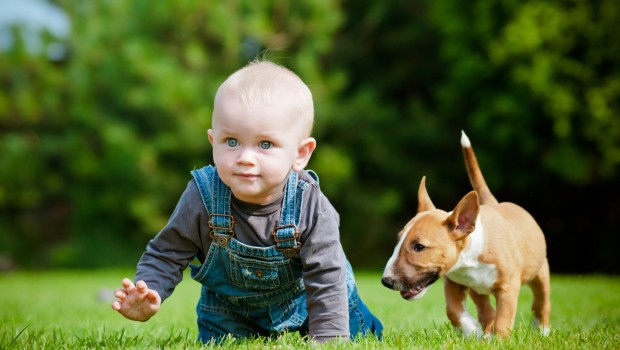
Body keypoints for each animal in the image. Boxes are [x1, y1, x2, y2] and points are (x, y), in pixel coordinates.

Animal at [382, 131, 552, 336]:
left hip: (540, 270)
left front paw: (498, 339)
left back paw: (541, 330)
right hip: (476, 290)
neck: (469, 259)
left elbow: (503, 320)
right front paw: (473, 332)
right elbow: (453, 310)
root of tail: (495, 203)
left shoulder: (508, 287)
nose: (386, 281)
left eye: (419, 247)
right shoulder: (453, 283)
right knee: (485, 308)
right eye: (398, 241)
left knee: (541, 301)